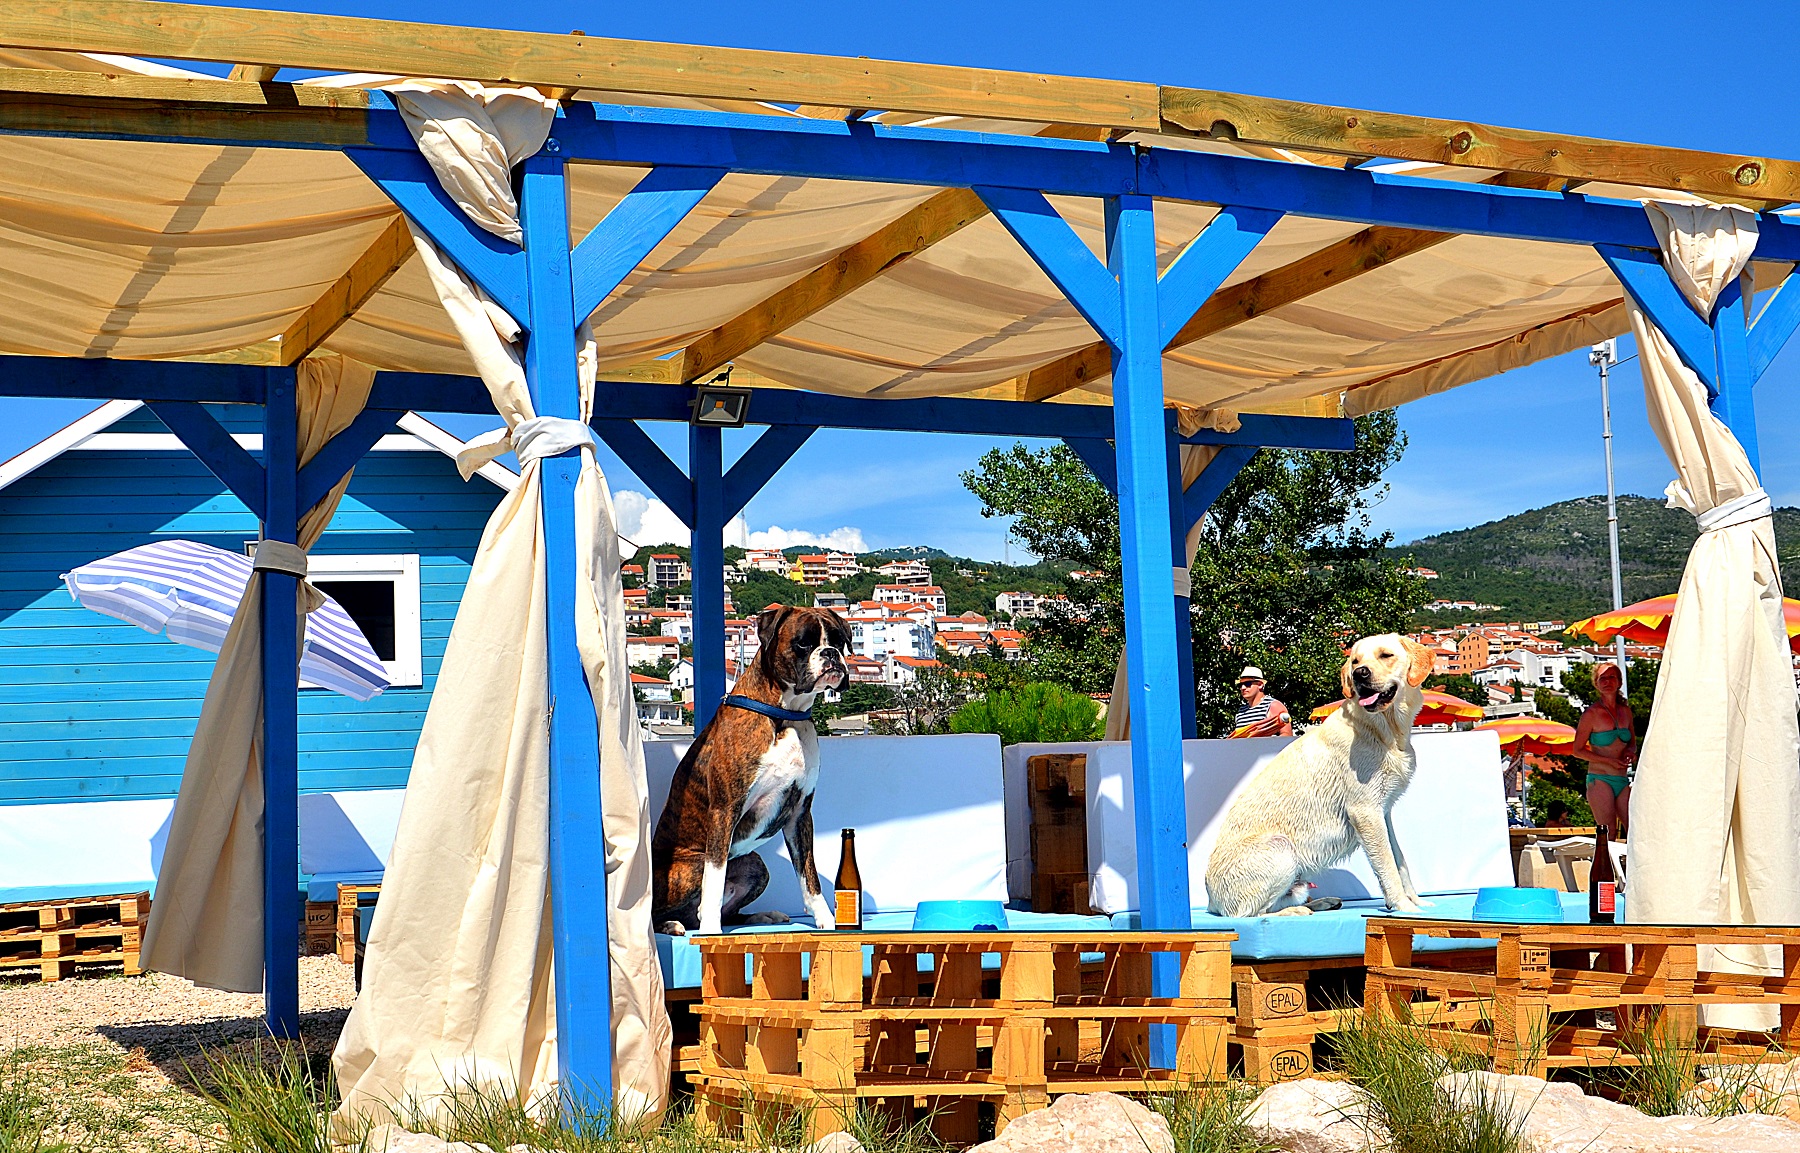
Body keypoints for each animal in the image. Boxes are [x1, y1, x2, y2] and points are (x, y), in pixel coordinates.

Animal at [655, 604, 849, 935]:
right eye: (803, 643)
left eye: (838, 640)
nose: (831, 653)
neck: (785, 715)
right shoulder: (725, 809)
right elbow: (715, 879)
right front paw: (710, 932)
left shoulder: (799, 814)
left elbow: (809, 876)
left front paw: (826, 920)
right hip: (690, 867)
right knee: (659, 911)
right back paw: (673, 924)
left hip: (756, 865)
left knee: (728, 910)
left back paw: (762, 916)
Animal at [1202, 633, 1440, 913]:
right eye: (1355, 661)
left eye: (1385, 655)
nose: (1359, 674)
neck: (1383, 730)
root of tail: (1210, 901)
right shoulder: (1366, 812)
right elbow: (1388, 866)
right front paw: (1404, 906)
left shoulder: (1383, 812)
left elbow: (1399, 860)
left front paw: (1416, 901)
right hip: (1281, 848)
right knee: (1252, 913)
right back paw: (1296, 911)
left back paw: (1323, 902)